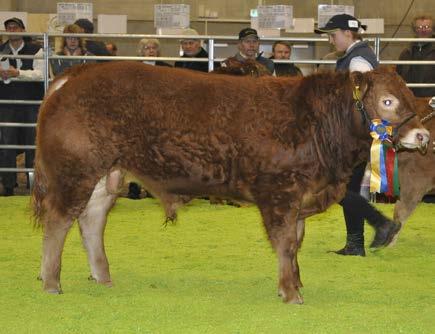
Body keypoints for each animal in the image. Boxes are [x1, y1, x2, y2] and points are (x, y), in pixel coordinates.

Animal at [32, 61, 430, 304]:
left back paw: (102, 277)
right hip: (75, 171)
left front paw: (295, 282)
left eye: (410, 95)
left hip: (105, 175)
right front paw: (291, 293)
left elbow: (296, 242)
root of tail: (78, 73)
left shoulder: (300, 196)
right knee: (59, 221)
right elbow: (286, 243)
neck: (316, 122)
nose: (423, 135)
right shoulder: (279, 192)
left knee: (91, 220)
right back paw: (51, 283)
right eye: (387, 101)